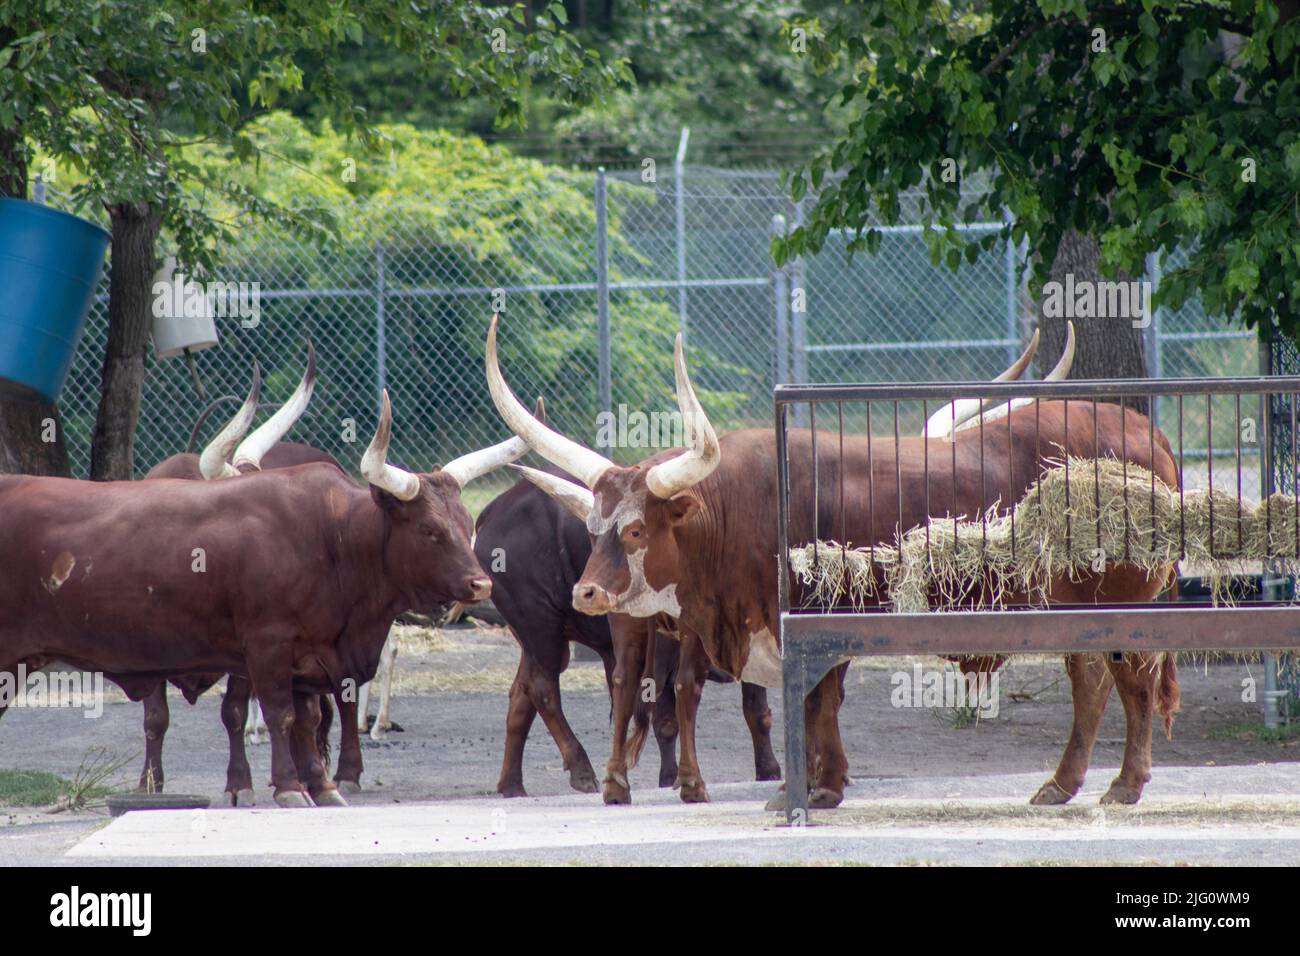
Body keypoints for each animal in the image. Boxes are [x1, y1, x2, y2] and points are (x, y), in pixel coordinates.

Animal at [0, 388, 528, 807]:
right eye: (429, 530)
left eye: (466, 522)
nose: (481, 585)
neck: (332, 537)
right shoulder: (267, 646)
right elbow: (278, 714)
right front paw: (289, 787)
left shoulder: (312, 653)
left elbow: (307, 718)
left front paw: (322, 786)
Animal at [474, 457, 781, 802]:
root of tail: (496, 509)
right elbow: (668, 717)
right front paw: (671, 777)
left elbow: (753, 710)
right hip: (542, 628)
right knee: (543, 688)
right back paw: (581, 768)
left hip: (536, 637)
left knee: (521, 693)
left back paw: (512, 784)